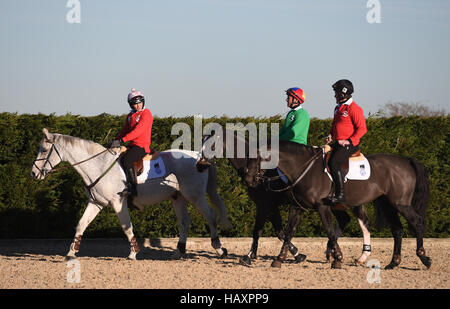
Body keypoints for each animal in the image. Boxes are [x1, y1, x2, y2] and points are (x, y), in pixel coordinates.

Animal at [30, 129, 232, 258]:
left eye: (44, 149)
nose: (33, 173)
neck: (98, 164)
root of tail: (199, 157)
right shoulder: (96, 203)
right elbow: (81, 224)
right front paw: (71, 252)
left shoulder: (118, 202)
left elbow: (126, 227)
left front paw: (133, 252)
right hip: (178, 197)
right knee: (184, 222)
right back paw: (178, 252)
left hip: (195, 195)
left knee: (211, 216)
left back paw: (219, 249)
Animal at [246, 141, 432, 268]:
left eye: (259, 158)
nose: (249, 179)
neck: (304, 168)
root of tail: (406, 160)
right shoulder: (297, 207)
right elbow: (288, 231)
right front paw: (279, 259)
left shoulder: (322, 207)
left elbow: (329, 230)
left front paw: (338, 258)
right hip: (387, 204)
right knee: (397, 229)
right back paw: (393, 262)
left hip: (400, 203)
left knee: (416, 222)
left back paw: (424, 257)